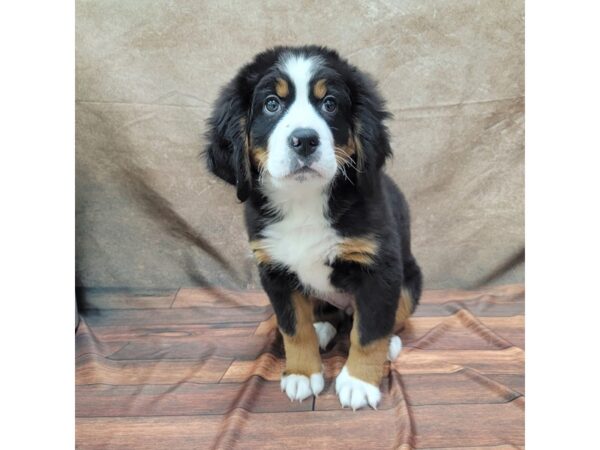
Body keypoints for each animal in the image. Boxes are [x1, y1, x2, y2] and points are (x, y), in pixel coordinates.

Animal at [206, 46, 422, 412]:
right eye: (271, 104)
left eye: (330, 104)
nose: (305, 140)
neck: (304, 200)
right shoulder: (274, 271)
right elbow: (294, 328)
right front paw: (303, 373)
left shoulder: (380, 269)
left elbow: (369, 332)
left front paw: (360, 382)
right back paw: (322, 327)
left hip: (409, 280)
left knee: (385, 318)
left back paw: (389, 343)